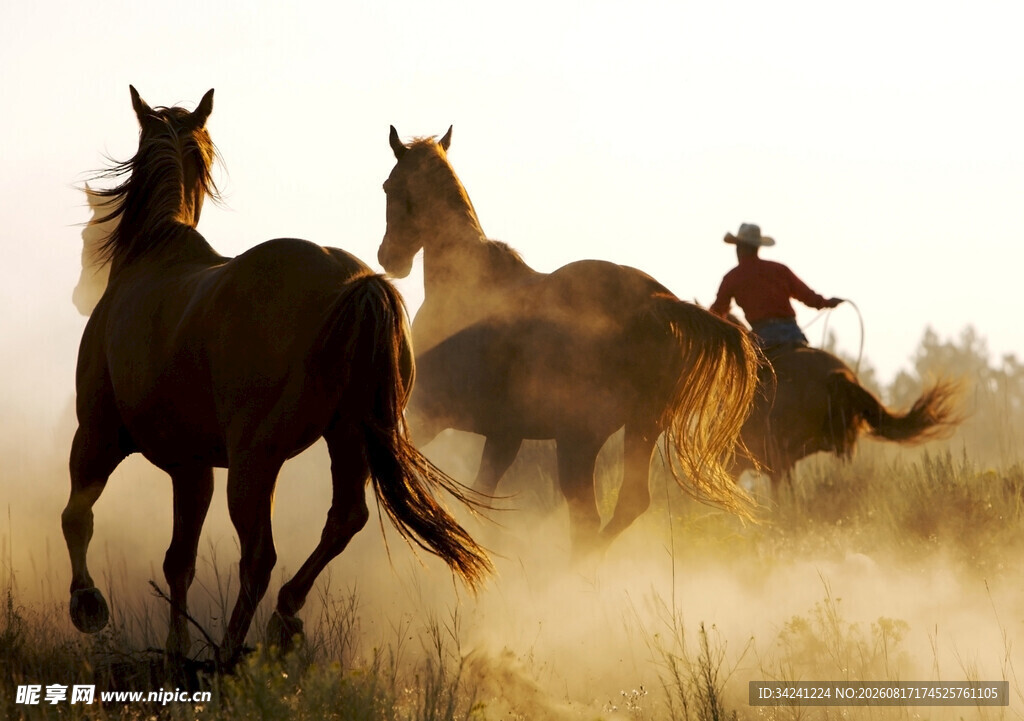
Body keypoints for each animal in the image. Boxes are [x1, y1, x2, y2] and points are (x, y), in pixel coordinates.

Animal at [62, 88, 491, 665]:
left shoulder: (98, 436)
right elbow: (179, 561)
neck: (152, 256)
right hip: (345, 439)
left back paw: (229, 653)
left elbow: (77, 516)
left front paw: (88, 604)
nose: (79, 294)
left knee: (260, 557)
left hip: (254, 462)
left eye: (93, 234)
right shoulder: (191, 467)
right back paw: (283, 620)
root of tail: (356, 285)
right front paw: (176, 649)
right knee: (342, 521)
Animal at [376, 126, 763, 556]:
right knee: (625, 506)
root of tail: (655, 303)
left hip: (579, 440)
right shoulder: (504, 435)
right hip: (639, 428)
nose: (389, 258)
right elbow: (482, 496)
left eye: (388, 186)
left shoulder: (428, 413)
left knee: (588, 518)